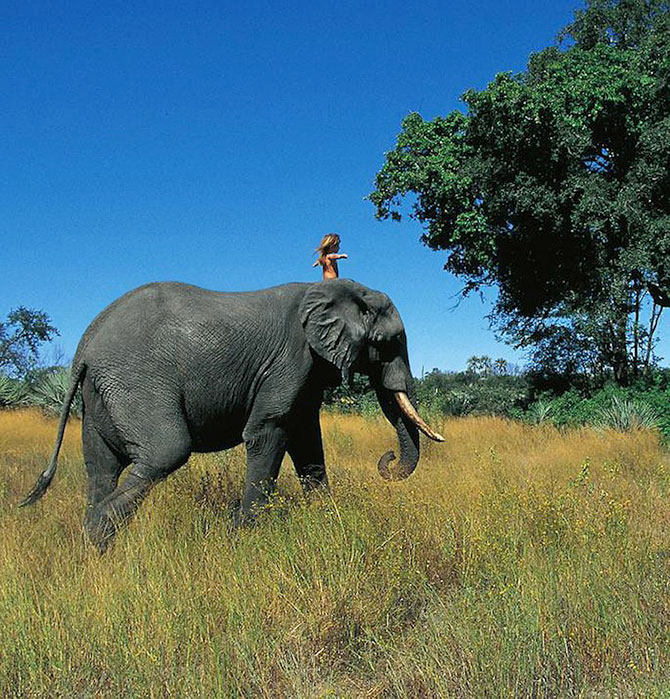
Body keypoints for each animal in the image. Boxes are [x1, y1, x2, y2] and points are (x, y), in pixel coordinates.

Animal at [21, 278, 444, 552]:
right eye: (390, 342)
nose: (387, 460)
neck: (340, 289)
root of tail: (86, 344)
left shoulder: (307, 370)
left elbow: (307, 440)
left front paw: (327, 519)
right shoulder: (290, 360)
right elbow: (269, 431)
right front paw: (243, 535)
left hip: (100, 394)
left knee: (101, 467)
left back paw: (90, 547)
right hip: (134, 380)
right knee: (165, 452)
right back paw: (97, 537)